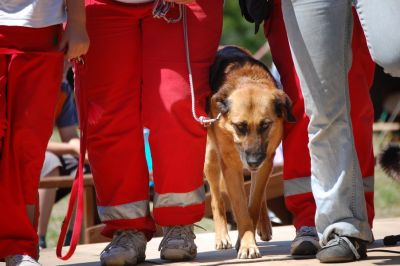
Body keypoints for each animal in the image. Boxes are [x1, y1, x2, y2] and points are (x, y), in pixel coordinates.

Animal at [205, 46, 296, 260]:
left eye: (265, 125)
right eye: (240, 126)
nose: (253, 161)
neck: (248, 79)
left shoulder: (267, 160)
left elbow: (253, 203)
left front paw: (247, 238)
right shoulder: (231, 167)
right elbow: (239, 206)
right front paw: (246, 243)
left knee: (259, 194)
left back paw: (264, 225)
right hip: (211, 160)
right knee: (216, 200)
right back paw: (222, 236)